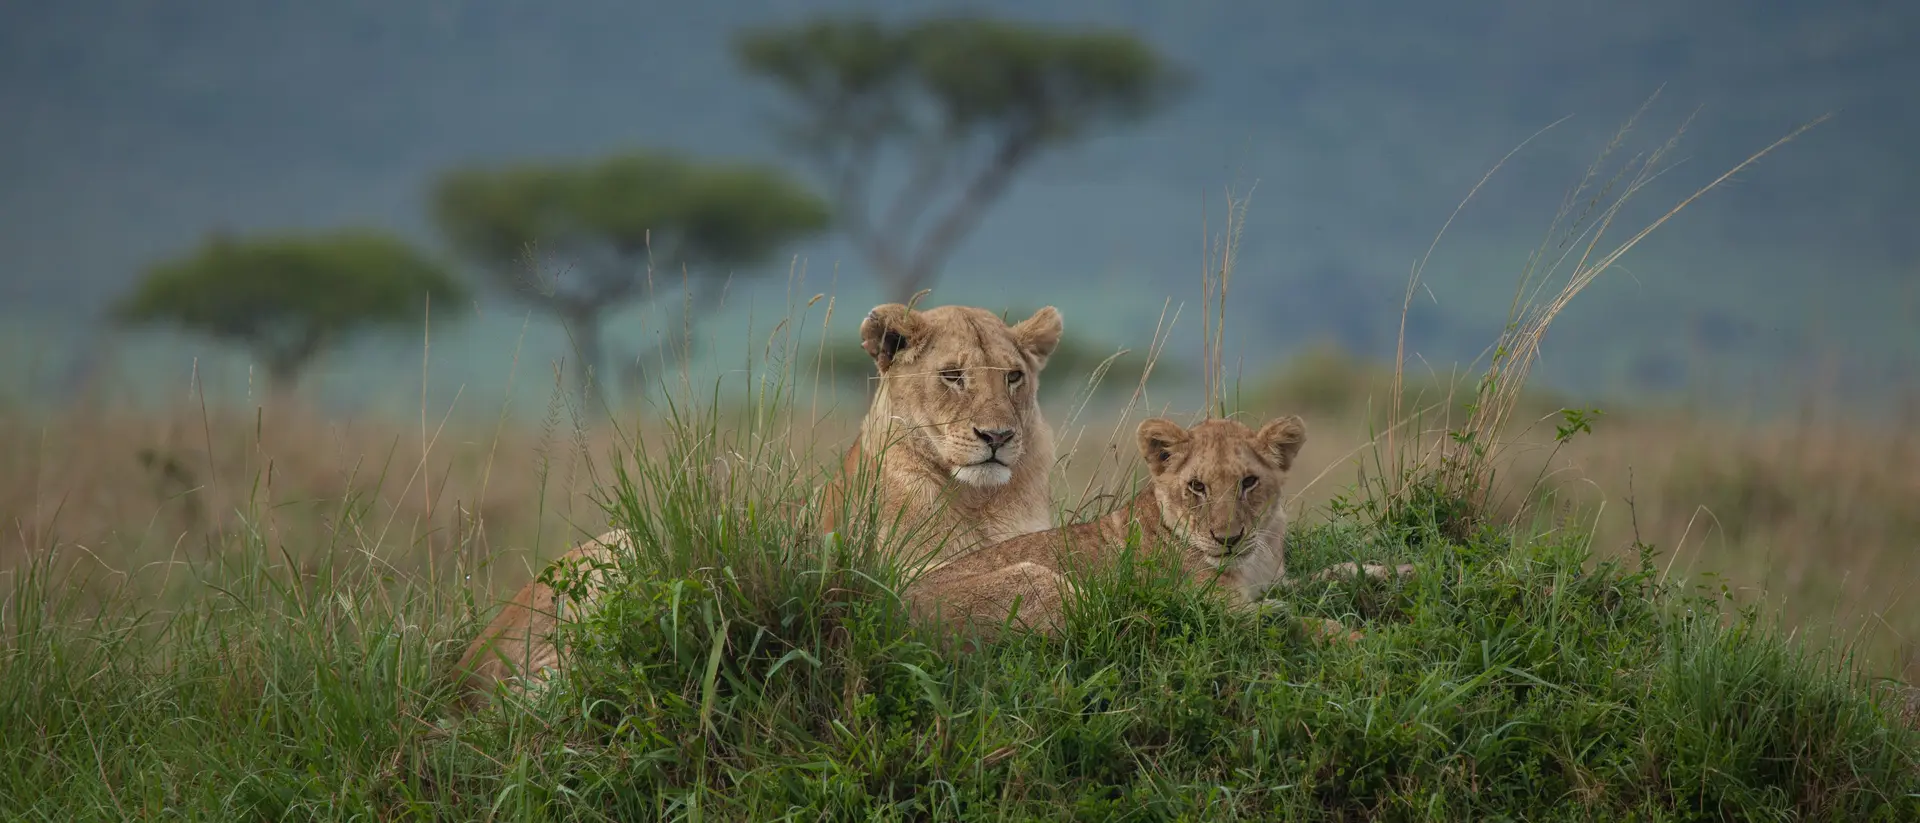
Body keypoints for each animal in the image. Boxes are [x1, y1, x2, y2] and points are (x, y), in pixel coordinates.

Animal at [451, 302, 1066, 707]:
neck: (982, 499)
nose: (997, 436)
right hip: (619, 548)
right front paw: (1070, 599)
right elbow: (1020, 576)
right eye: (952, 376)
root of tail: (462, 667)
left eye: (1014, 377)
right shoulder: (889, 594)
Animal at [905, 415, 1414, 644]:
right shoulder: (1217, 599)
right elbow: (1305, 620)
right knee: (1118, 617)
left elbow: (1330, 572)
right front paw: (1360, 637)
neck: (1257, 553)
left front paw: (1395, 571)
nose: (1227, 540)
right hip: (1033, 579)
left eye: (1249, 482)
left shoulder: (1273, 579)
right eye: (1197, 487)